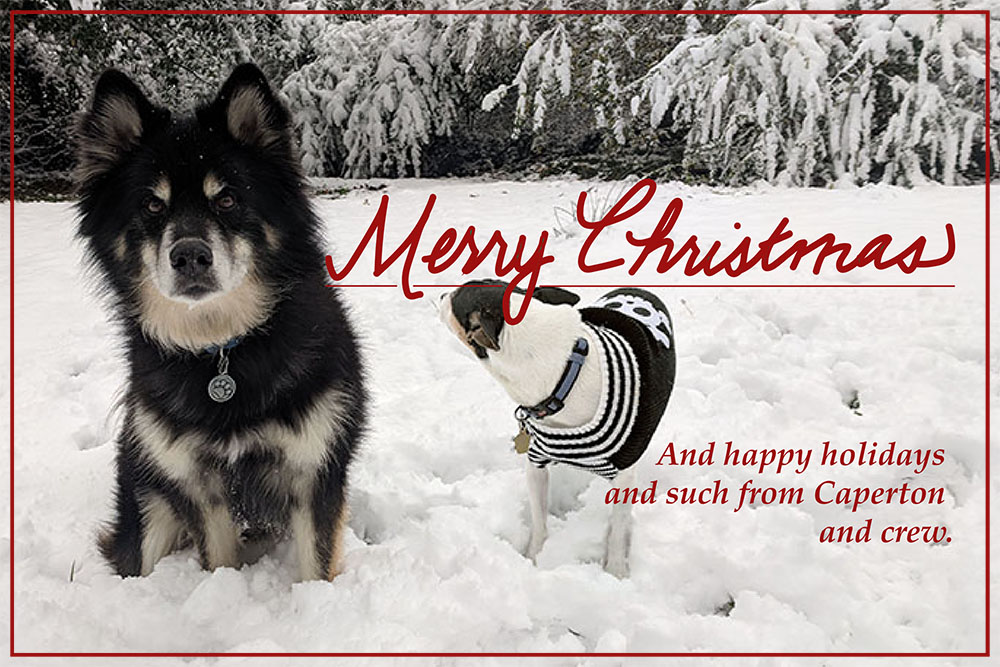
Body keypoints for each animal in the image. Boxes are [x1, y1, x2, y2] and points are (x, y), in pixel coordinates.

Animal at [76, 65, 368, 580]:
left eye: (228, 199)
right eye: (153, 205)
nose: (190, 255)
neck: (223, 348)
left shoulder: (315, 469)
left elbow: (317, 564)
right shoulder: (199, 487)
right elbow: (218, 563)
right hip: (148, 502)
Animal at [442, 280, 676, 576]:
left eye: (454, 299)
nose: (440, 294)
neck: (565, 375)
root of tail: (638, 289)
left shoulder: (624, 475)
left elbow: (618, 526)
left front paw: (615, 571)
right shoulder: (535, 462)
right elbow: (539, 518)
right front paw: (535, 558)